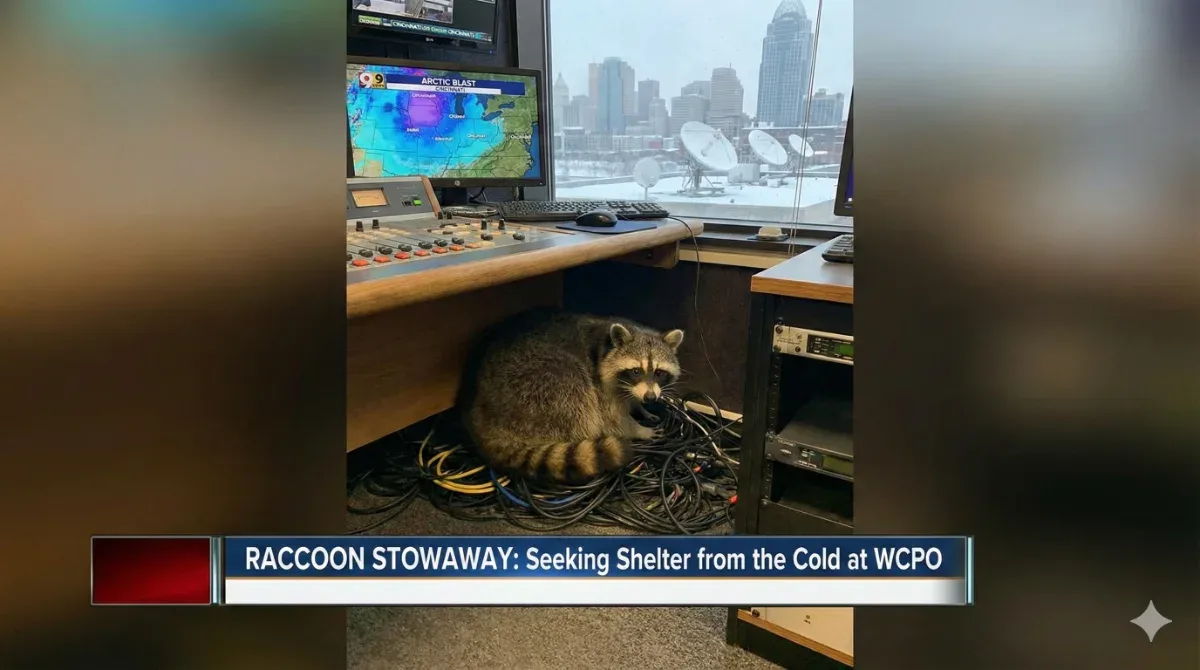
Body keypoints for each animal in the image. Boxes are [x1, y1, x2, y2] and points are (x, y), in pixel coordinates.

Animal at [460, 309, 684, 484]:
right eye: (636, 371)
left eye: (659, 372)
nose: (650, 398)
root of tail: (478, 409)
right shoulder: (601, 384)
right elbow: (612, 419)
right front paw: (638, 429)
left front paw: (641, 408)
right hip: (536, 384)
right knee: (577, 395)